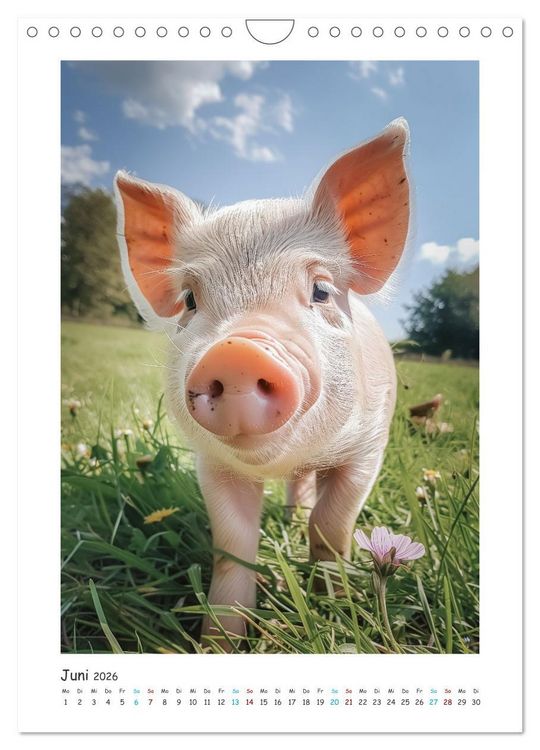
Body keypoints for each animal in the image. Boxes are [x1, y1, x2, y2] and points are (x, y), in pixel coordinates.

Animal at [114, 118, 411, 647]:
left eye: (321, 290)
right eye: (190, 299)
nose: (237, 350)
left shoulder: (370, 445)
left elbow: (332, 525)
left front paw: (337, 607)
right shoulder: (212, 464)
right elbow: (232, 543)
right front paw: (219, 644)